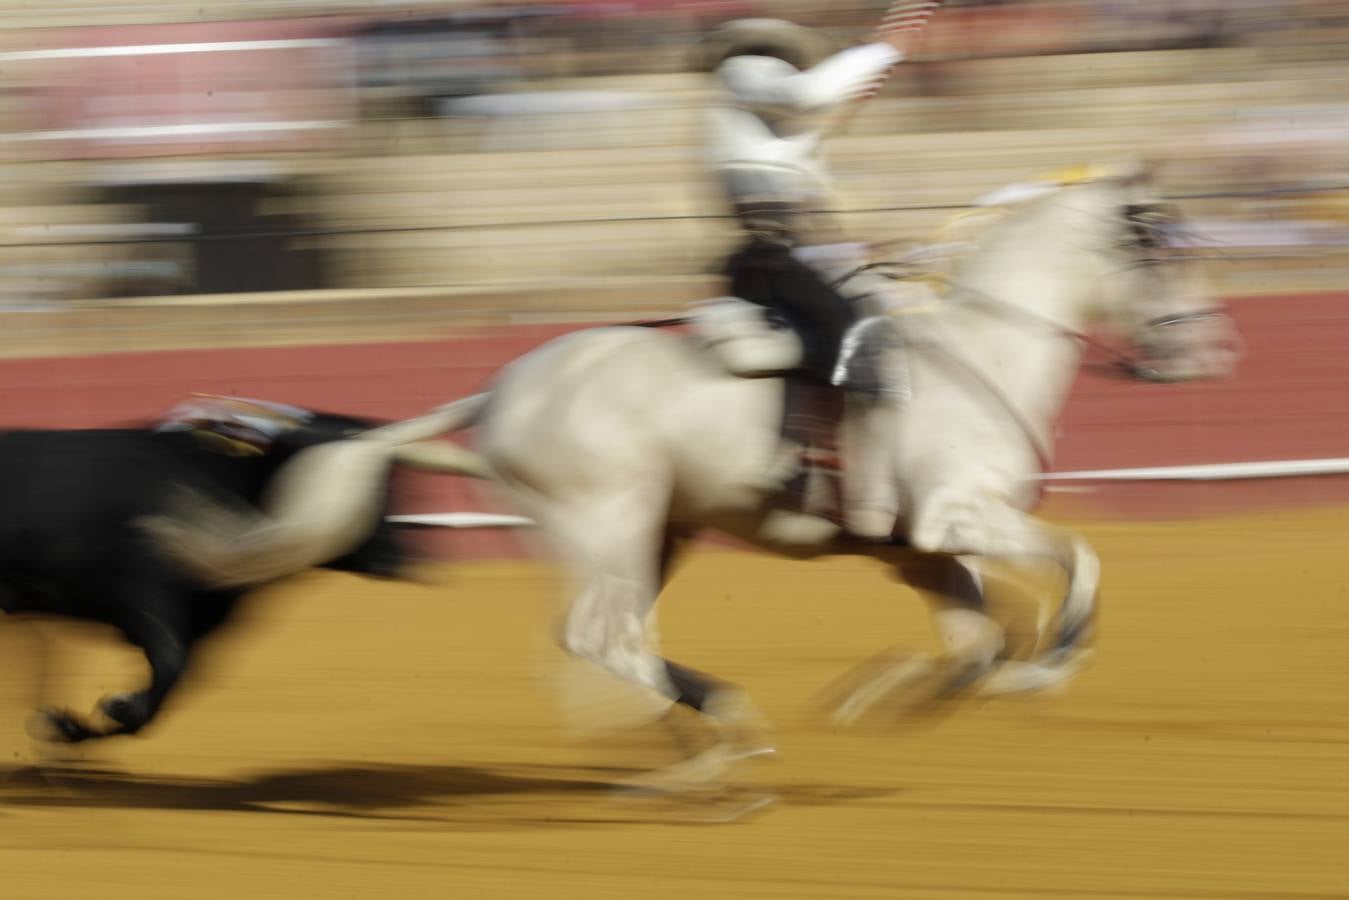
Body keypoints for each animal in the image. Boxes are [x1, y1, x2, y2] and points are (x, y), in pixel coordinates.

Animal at [0, 412, 410, 744]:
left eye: (389, 484)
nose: (398, 559)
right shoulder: (144, 597)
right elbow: (171, 662)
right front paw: (101, 713)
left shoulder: (201, 623)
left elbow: (175, 680)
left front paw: (73, 725)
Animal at [142, 167, 1235, 788]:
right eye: (1158, 252)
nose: (1203, 354)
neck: (975, 353)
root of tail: (504, 388)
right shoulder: (955, 518)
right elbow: (1076, 561)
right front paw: (1050, 666)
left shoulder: (914, 552)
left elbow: (977, 635)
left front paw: (881, 701)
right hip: (610, 519)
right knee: (602, 635)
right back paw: (722, 739)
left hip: (646, 531)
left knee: (607, 636)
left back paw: (704, 743)